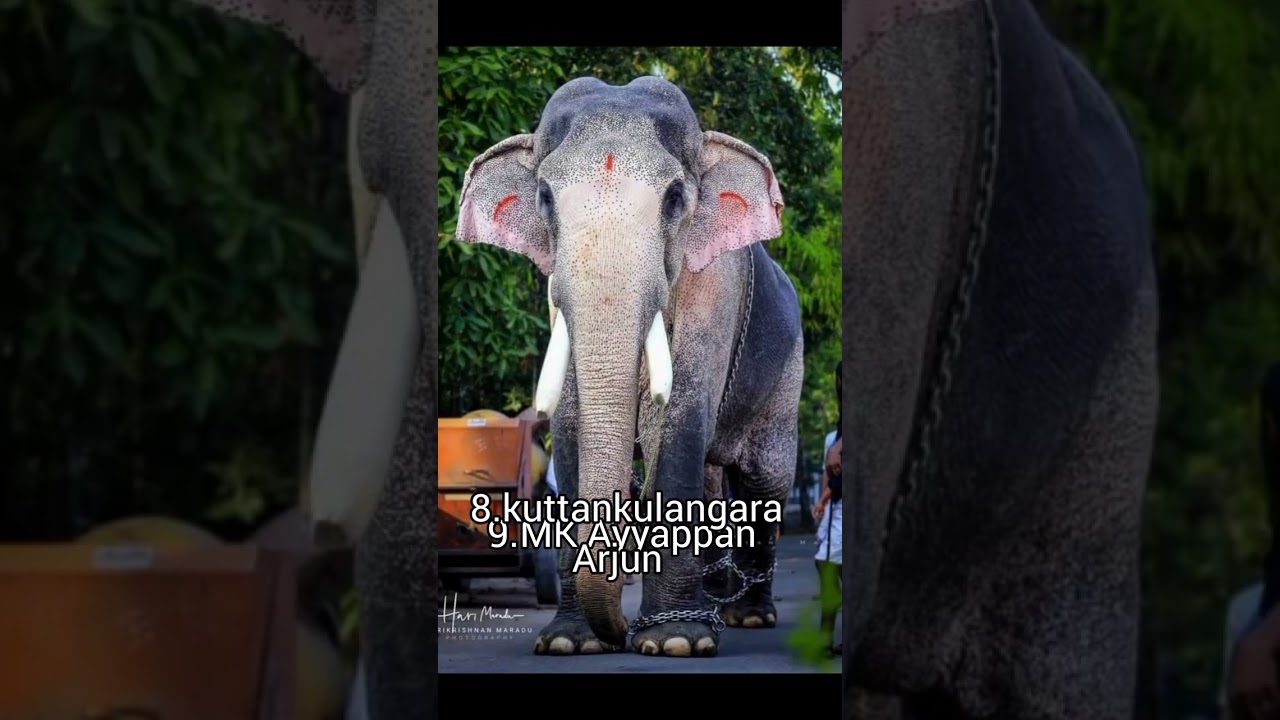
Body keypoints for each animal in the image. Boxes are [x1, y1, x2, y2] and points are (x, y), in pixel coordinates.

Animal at [456, 76, 805, 656]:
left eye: (675, 198)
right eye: (544, 197)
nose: (620, 629)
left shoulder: (719, 287)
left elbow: (683, 414)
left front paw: (674, 641)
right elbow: (570, 423)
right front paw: (570, 643)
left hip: (787, 380)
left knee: (766, 486)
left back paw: (748, 617)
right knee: (716, 481)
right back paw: (715, 605)